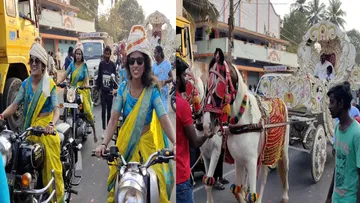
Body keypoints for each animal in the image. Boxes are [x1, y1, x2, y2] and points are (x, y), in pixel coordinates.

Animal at [202, 62, 290, 203]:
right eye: (206, 87)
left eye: (219, 88)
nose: (206, 125)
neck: (243, 124)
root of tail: (280, 100)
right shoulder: (239, 161)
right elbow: (237, 191)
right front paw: (243, 194)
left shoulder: (252, 162)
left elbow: (252, 193)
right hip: (265, 154)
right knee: (264, 177)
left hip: (282, 151)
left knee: (283, 171)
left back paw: (285, 195)